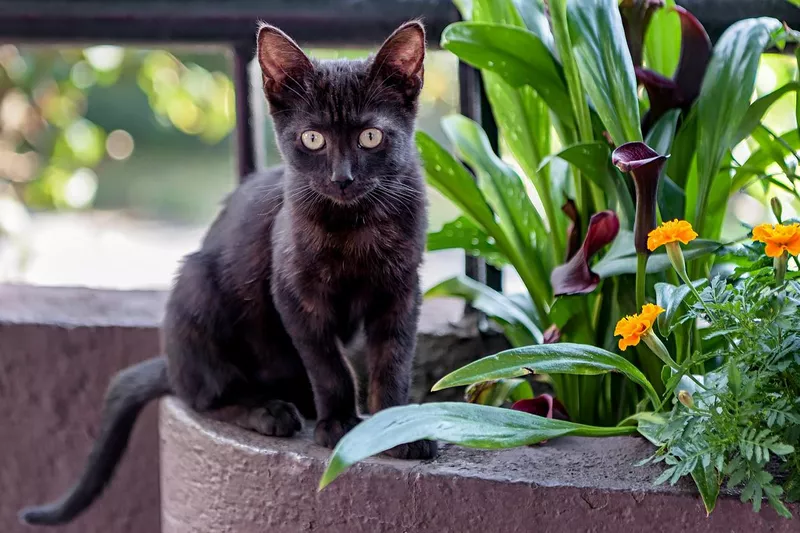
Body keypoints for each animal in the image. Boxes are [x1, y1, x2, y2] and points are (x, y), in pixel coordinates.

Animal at [21, 20, 438, 524]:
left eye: (371, 137)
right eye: (313, 138)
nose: (343, 178)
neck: (354, 226)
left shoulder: (402, 291)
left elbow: (392, 362)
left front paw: (396, 429)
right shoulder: (294, 294)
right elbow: (329, 365)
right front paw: (339, 424)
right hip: (197, 287)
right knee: (202, 396)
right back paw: (268, 412)